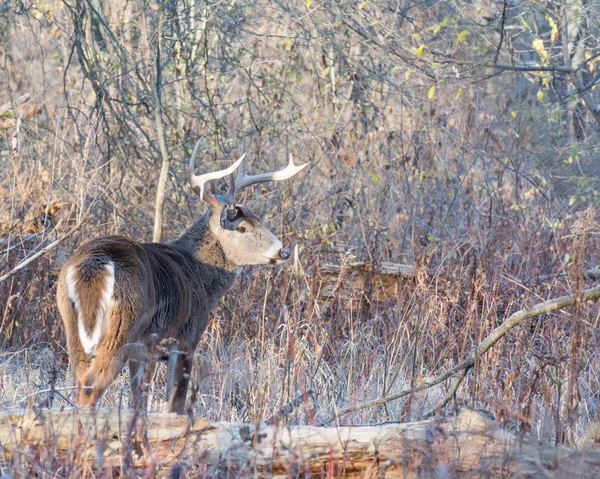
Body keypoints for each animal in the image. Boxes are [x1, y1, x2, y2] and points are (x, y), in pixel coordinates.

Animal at [56, 141, 308, 414]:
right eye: (242, 228)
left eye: (258, 218)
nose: (283, 251)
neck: (198, 272)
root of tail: (95, 264)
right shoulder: (185, 340)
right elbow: (175, 405)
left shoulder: (144, 353)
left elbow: (140, 404)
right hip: (123, 324)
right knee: (91, 386)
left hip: (72, 326)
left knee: (80, 380)